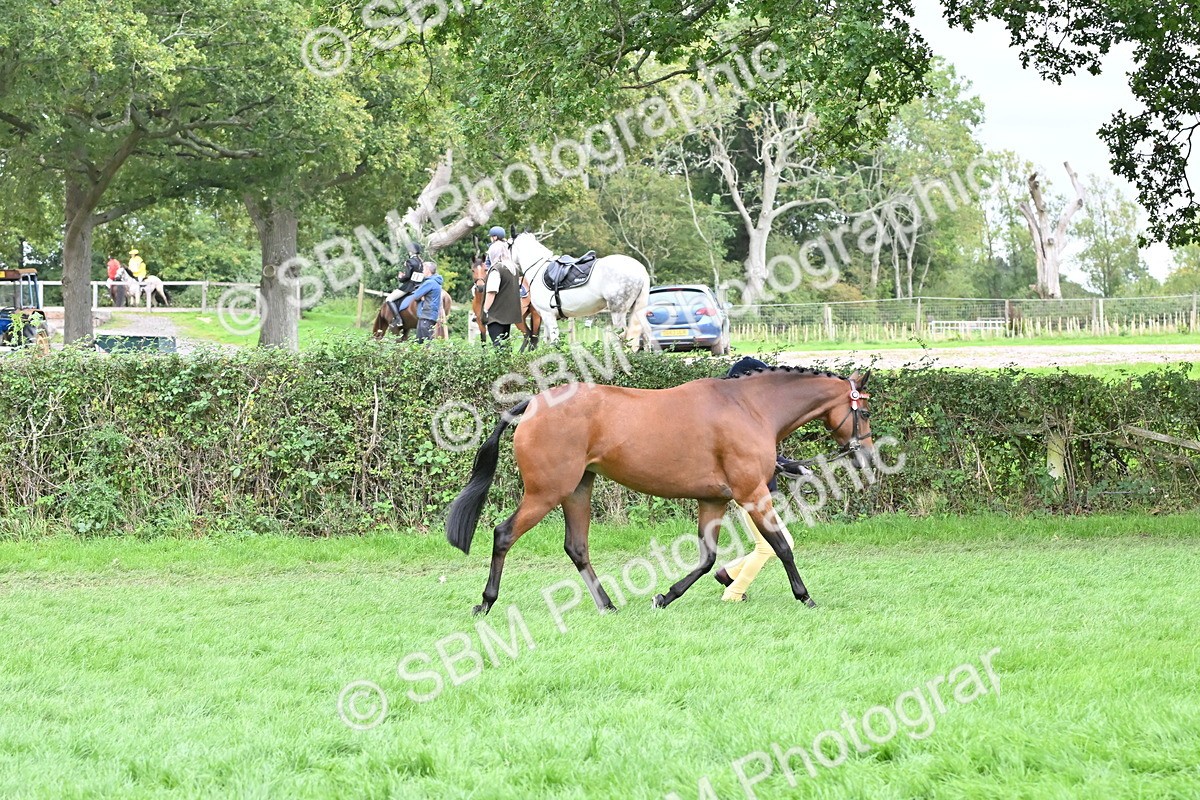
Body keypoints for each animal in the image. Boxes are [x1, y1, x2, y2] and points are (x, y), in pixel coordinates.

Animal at [445, 366, 875, 616]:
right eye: (866, 412)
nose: (867, 456)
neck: (750, 408)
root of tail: (533, 403)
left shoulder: (713, 500)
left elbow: (707, 559)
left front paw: (665, 596)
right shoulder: (752, 493)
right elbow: (781, 546)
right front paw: (806, 597)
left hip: (577, 490)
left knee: (577, 547)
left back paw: (608, 605)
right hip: (545, 493)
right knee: (503, 535)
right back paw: (485, 603)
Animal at [509, 232, 650, 350]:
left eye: (508, 245)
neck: (538, 269)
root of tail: (641, 270)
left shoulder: (548, 315)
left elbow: (554, 342)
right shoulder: (545, 316)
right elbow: (547, 341)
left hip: (618, 312)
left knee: (624, 335)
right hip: (636, 310)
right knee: (645, 335)